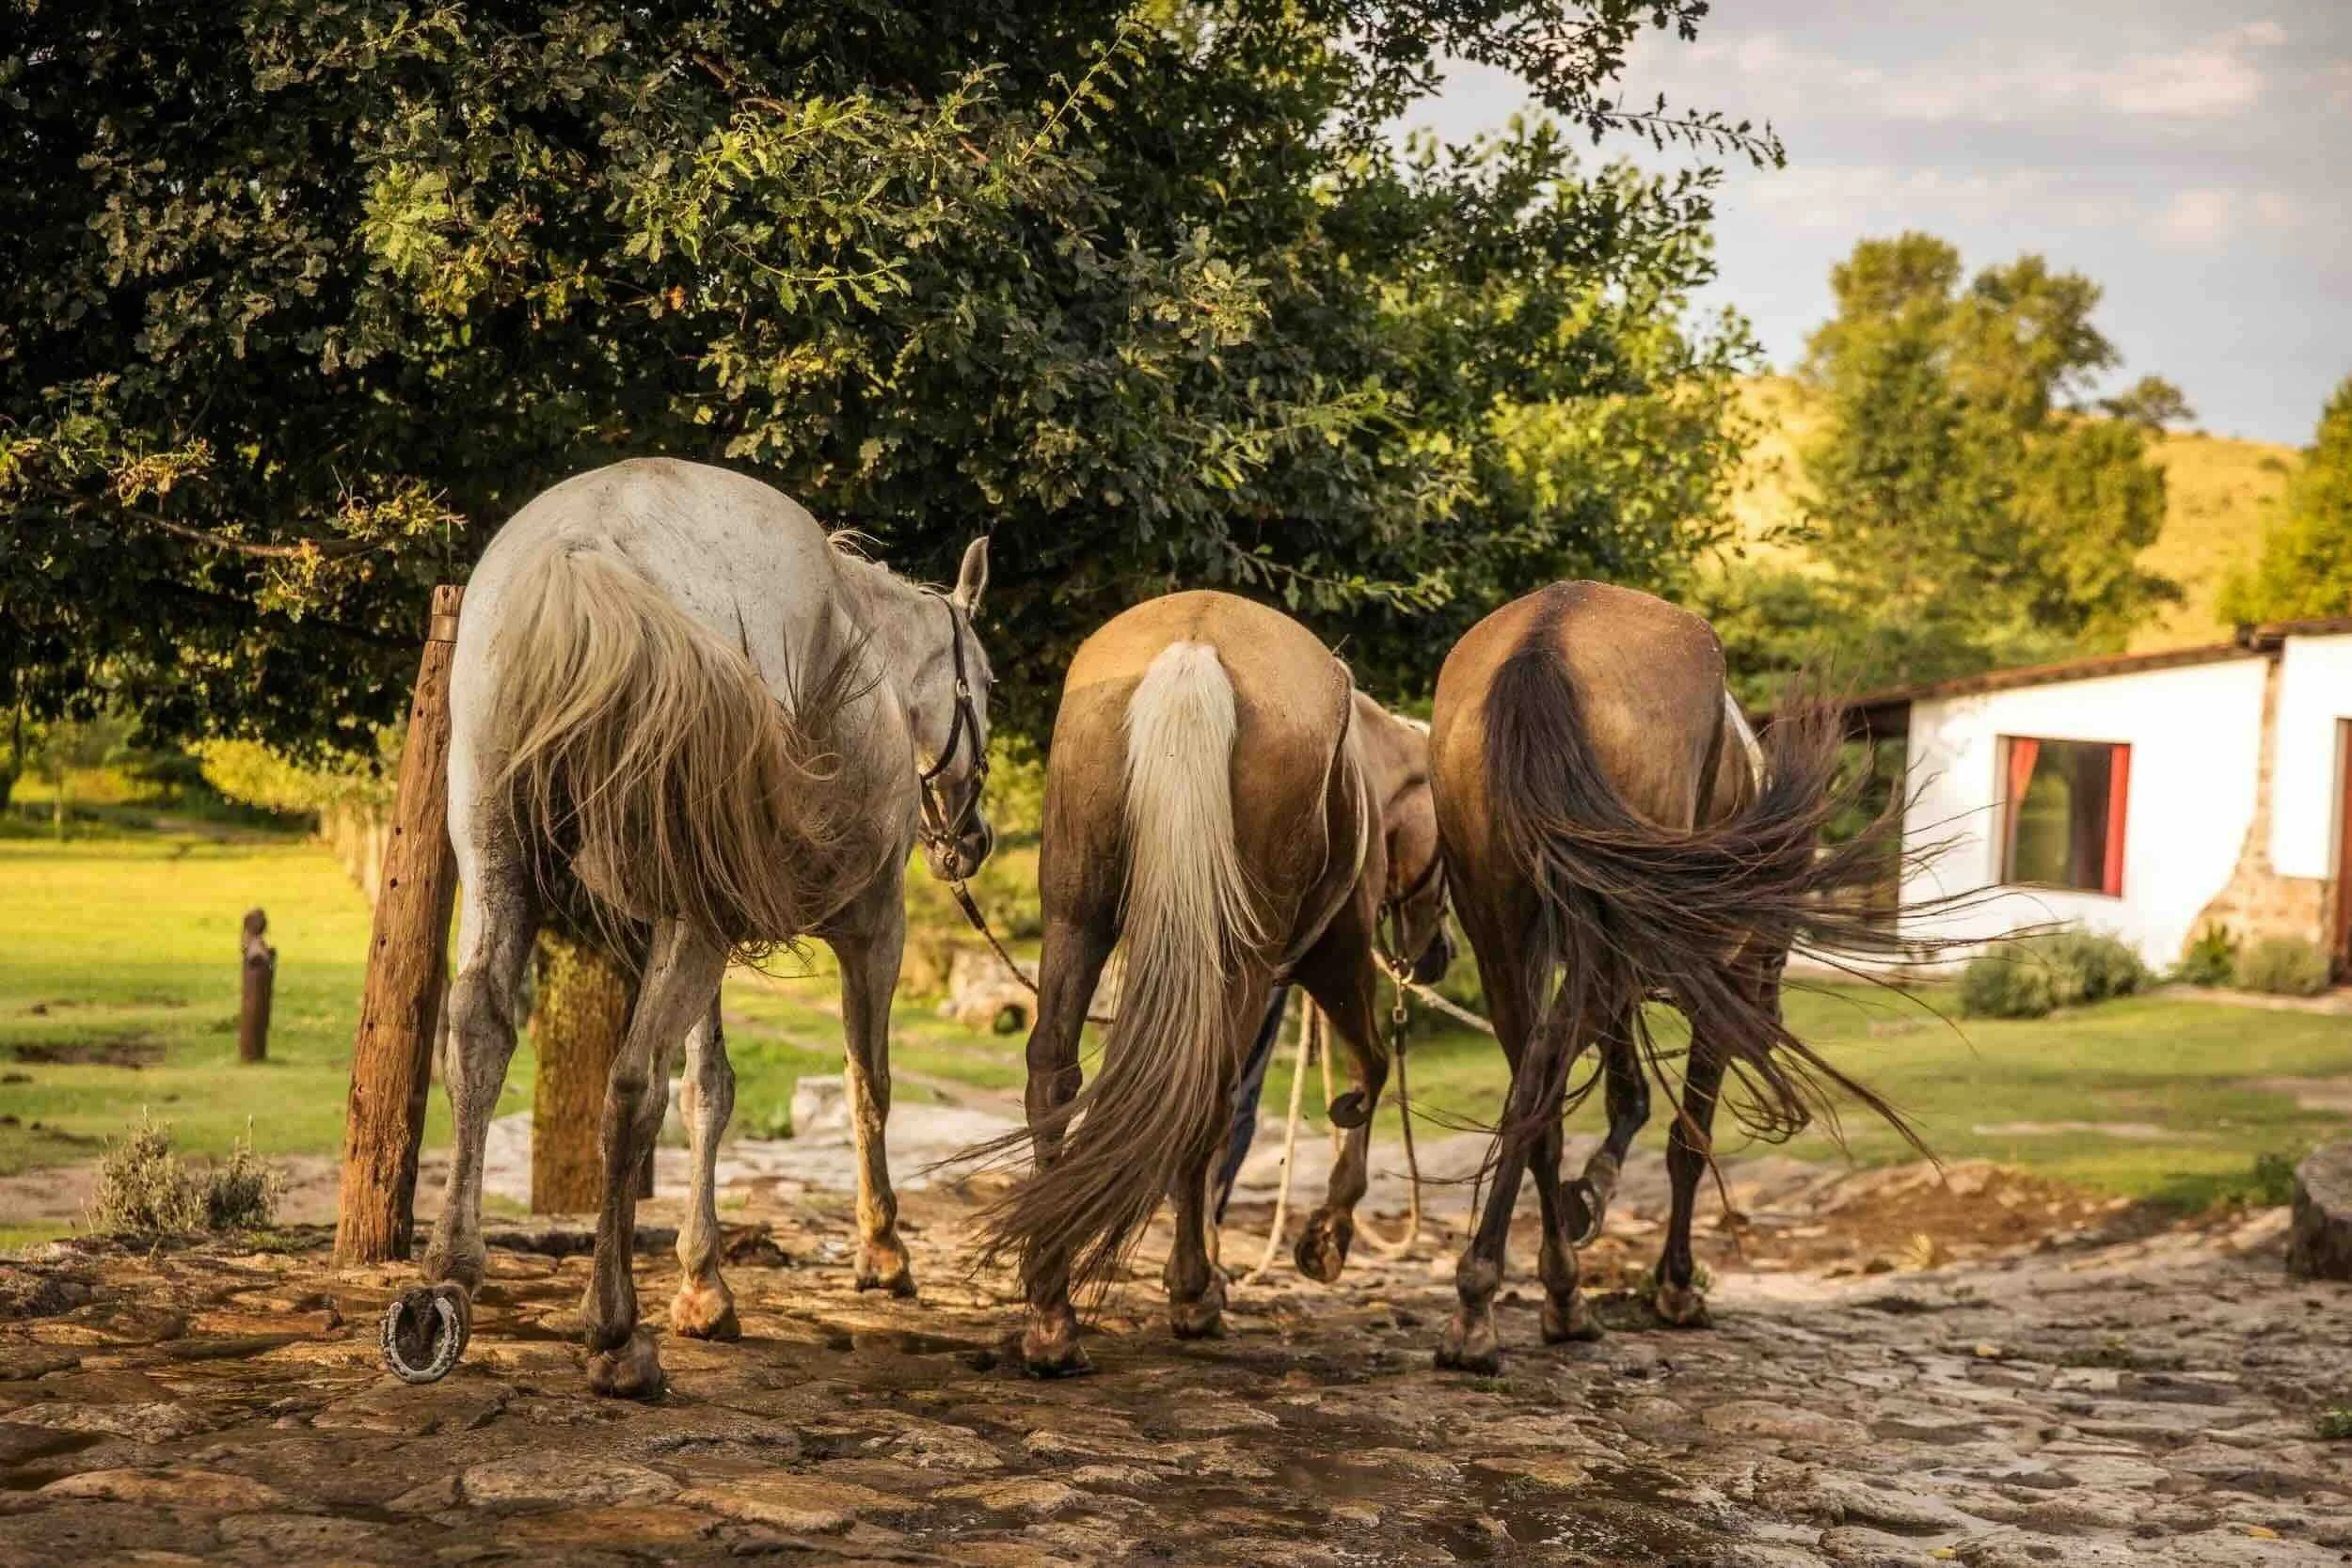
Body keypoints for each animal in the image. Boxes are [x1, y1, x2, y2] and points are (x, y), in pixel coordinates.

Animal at [381, 458, 997, 1397]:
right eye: (989, 686)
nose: (971, 839)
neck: (876, 661)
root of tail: (581, 551)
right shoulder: (870, 929)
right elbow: (868, 1083)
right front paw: (883, 1249)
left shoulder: (705, 919)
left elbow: (710, 1088)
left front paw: (705, 1283)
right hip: (695, 918)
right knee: (632, 1083)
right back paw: (612, 1328)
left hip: (502, 861)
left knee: (481, 1033)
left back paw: (450, 1278)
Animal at [976, 590, 1452, 1376]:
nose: (1439, 952)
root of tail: (1193, 649)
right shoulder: (1335, 959)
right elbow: (1370, 1070)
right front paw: (1323, 1236)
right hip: (1248, 958)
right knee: (1209, 1093)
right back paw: (1193, 1293)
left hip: (1076, 918)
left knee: (1053, 1073)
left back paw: (1051, 1311)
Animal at [1427, 580, 1909, 1373]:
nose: (1769, 1016)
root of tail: (1546, 633)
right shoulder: (1710, 981)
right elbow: (1688, 1139)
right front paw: (1675, 1283)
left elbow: (1619, 1090)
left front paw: (1584, 1206)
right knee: (1550, 1068)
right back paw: (1488, 1302)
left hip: (1499, 926)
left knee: (1534, 1085)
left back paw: (1544, 1296)